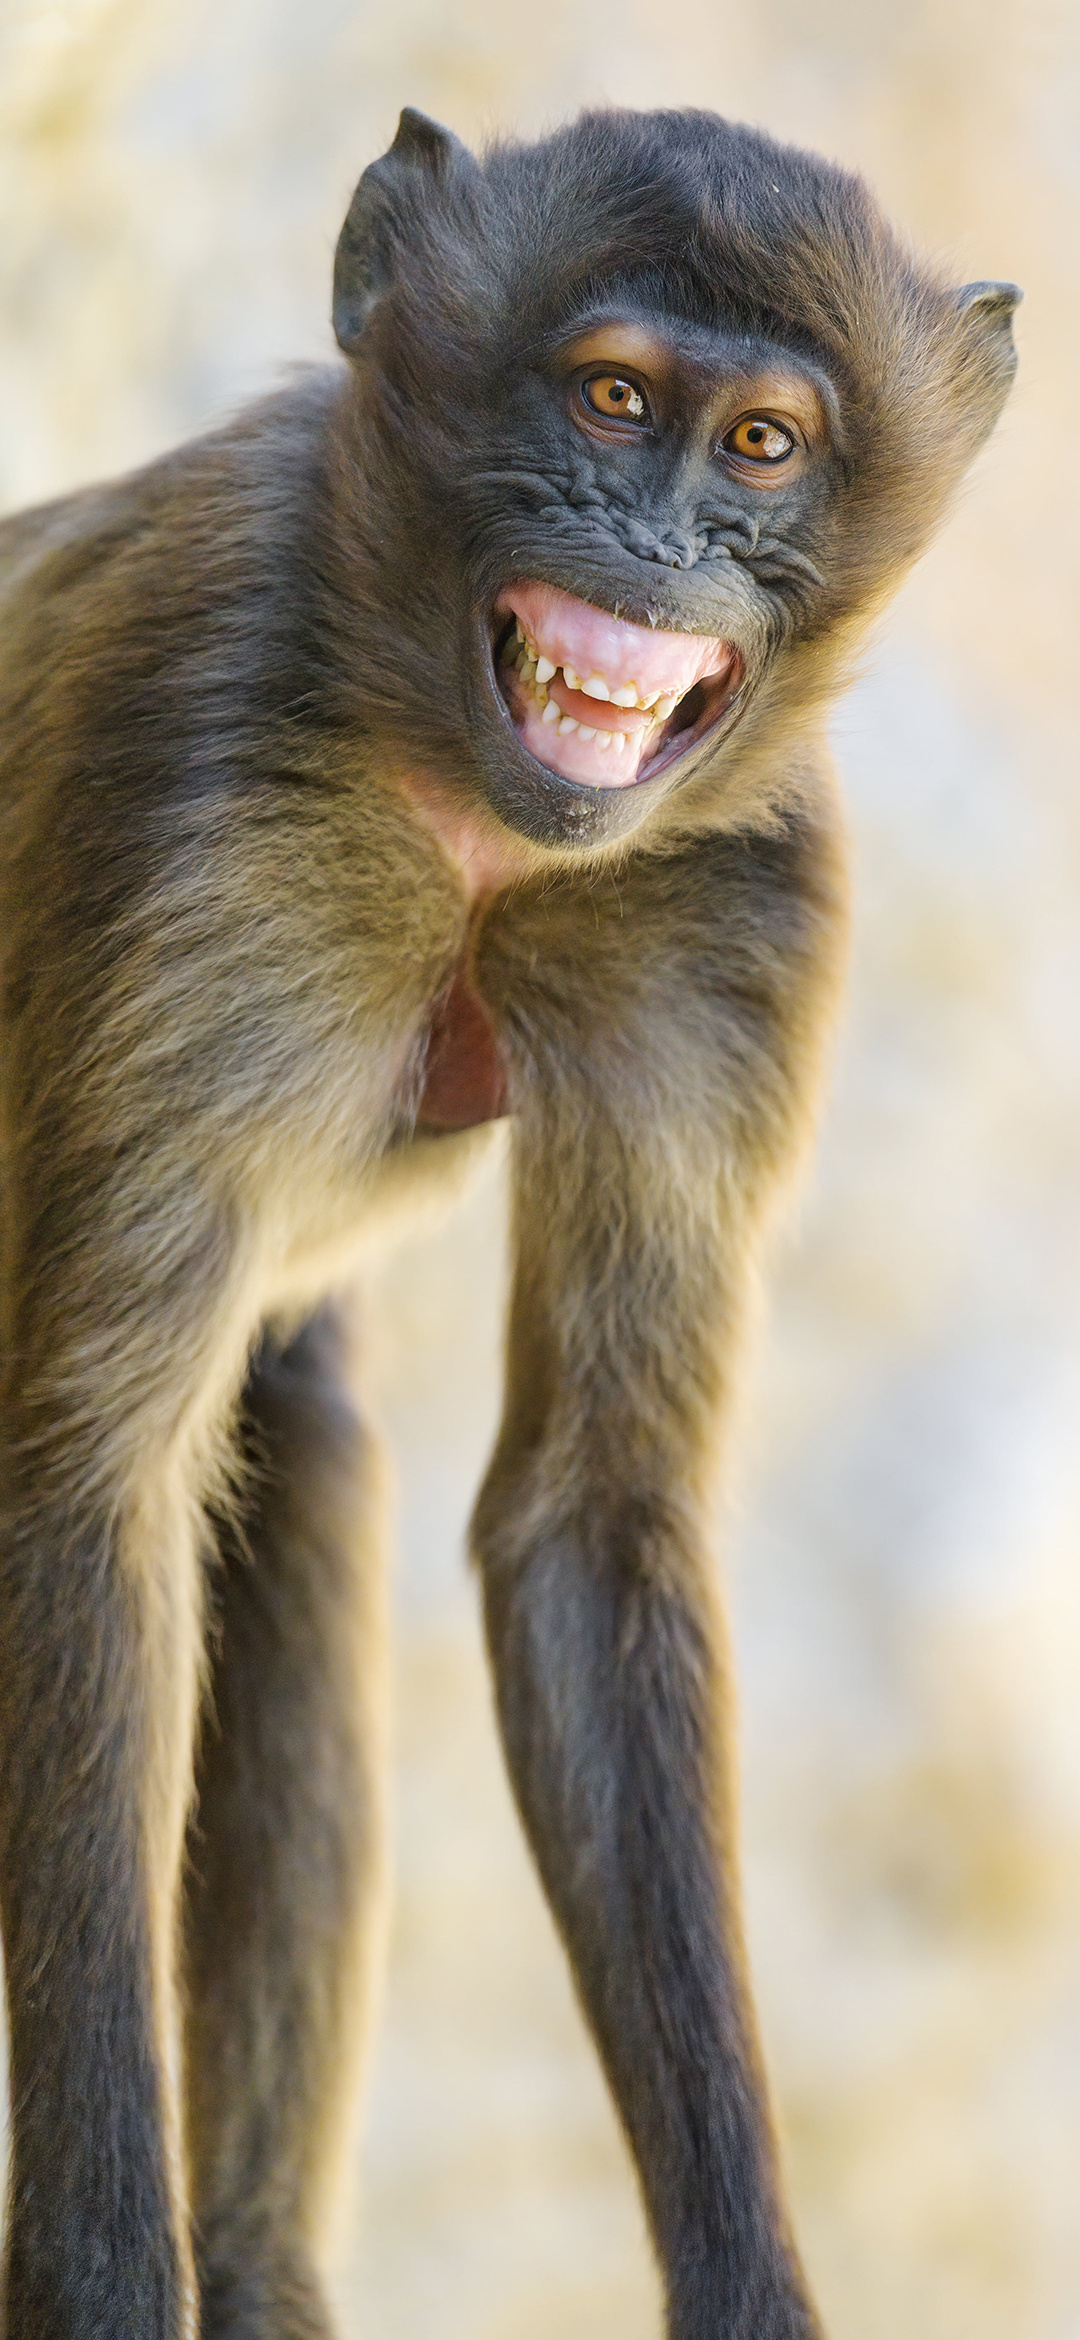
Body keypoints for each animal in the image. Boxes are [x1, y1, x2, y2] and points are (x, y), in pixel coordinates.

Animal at [0, 102, 1018, 2340]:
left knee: (294, 1466)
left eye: (761, 448)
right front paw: (104, 2276)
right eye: (611, 398)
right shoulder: (195, 764)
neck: (469, 823)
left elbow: (582, 1519)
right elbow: (89, 1488)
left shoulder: (744, 904)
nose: (655, 542)